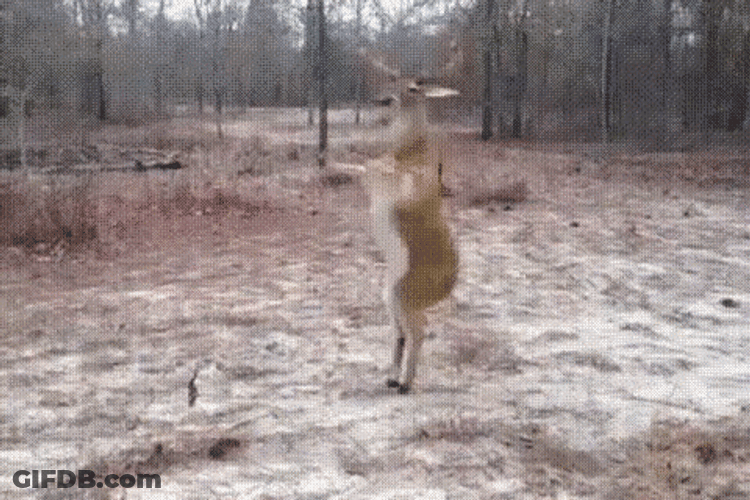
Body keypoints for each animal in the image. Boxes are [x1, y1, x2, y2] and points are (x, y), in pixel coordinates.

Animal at [336, 43, 462, 393]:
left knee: (419, 329)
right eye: (393, 79)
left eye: (415, 88)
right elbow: (365, 166)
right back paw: (392, 377)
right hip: (390, 293)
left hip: (406, 294)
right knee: (402, 331)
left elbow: (377, 166)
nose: (382, 99)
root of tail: (447, 285)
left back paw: (405, 382)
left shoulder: (404, 187)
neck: (410, 150)